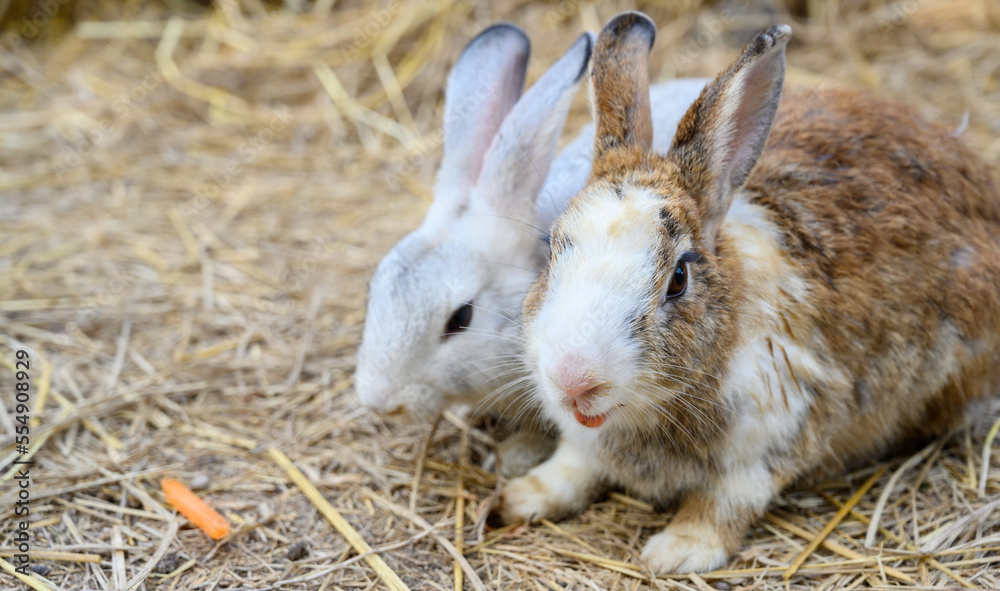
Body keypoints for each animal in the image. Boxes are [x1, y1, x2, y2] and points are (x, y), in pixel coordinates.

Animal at [492, 11, 1000, 574]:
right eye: (551, 250)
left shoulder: (768, 444)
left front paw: (674, 553)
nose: (574, 379)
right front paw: (522, 497)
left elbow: (723, 505)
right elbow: (572, 466)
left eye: (678, 279)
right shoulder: (584, 445)